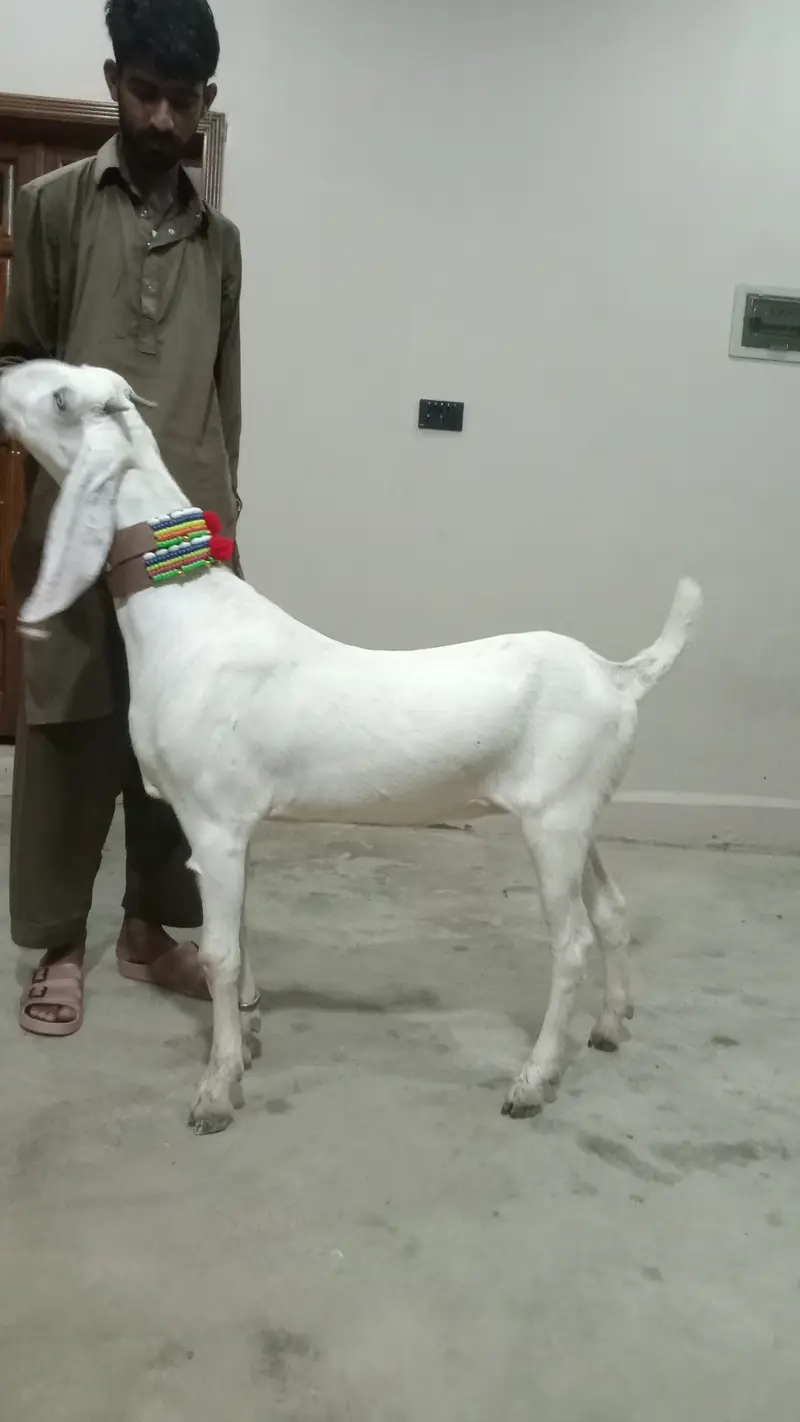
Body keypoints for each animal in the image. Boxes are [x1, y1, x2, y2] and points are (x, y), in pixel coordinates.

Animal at [0, 360, 702, 1134]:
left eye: (62, 399)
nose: (7, 373)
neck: (187, 614)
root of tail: (619, 675)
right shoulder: (239, 831)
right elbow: (240, 935)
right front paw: (249, 1039)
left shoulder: (212, 822)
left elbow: (218, 953)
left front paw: (216, 1089)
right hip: (581, 813)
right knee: (611, 911)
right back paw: (610, 1025)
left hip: (554, 822)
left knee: (571, 941)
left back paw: (532, 1079)